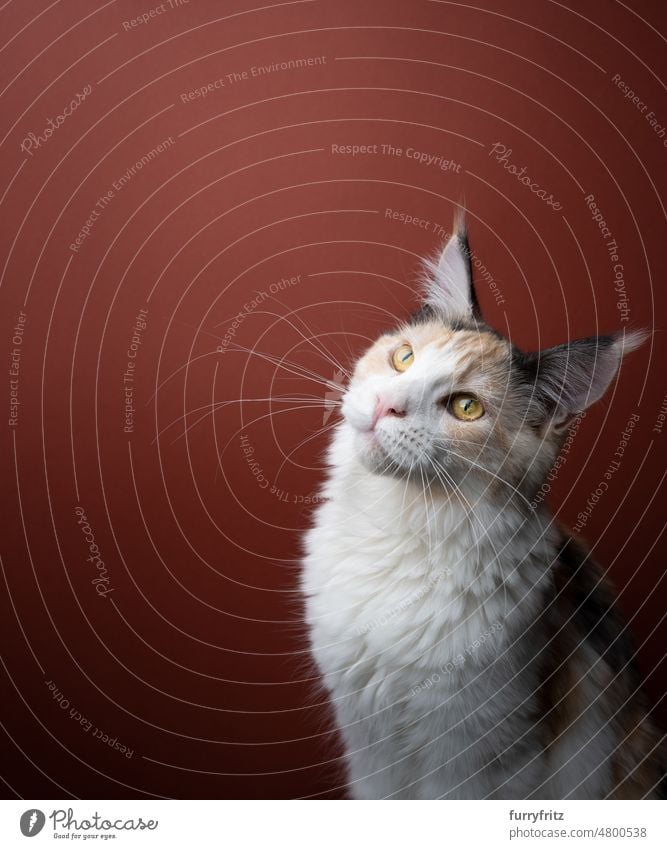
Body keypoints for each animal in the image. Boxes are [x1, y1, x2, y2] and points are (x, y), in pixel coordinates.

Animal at [302, 215, 664, 800]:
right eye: (404, 357)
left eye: (466, 407)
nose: (386, 406)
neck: (395, 528)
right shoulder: (369, 746)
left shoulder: (480, 752)